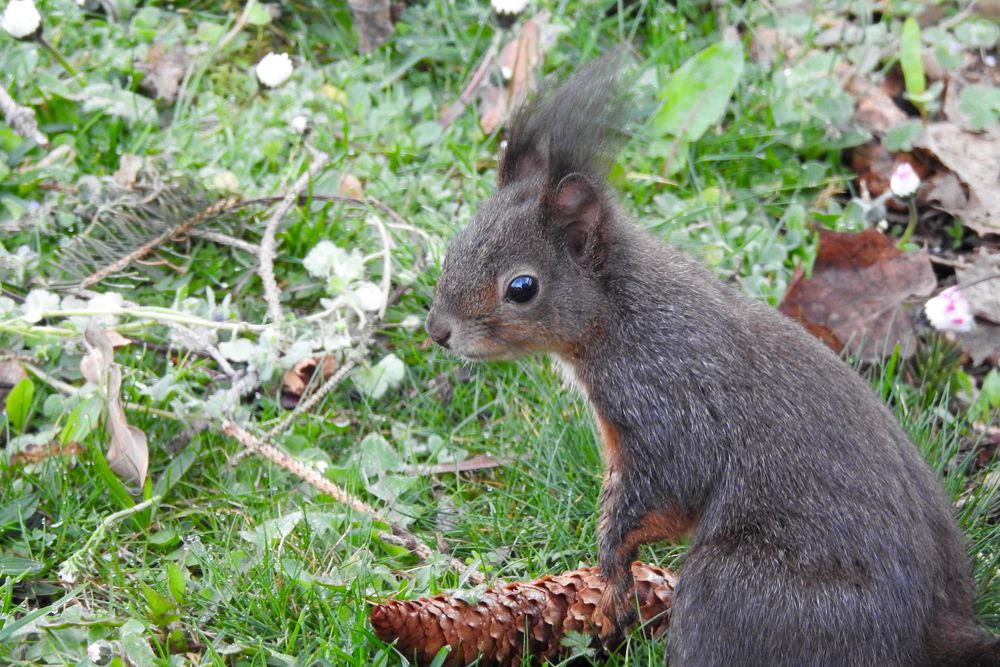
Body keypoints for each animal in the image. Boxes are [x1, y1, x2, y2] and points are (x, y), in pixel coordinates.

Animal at [424, 53, 1000, 667]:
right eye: (457, 244)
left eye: (522, 287)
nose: (438, 330)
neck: (620, 315)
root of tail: (930, 633)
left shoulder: (667, 404)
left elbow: (664, 489)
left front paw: (610, 561)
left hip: (729, 591)